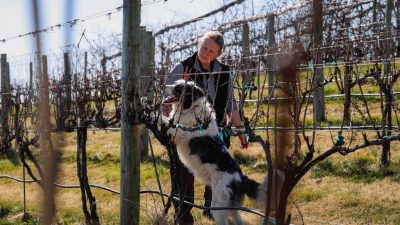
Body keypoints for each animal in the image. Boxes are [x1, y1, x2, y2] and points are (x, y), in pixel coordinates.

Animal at [162, 79, 268, 225]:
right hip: (231, 208)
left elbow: (166, 122)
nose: (163, 86)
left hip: (218, 206)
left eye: (178, 88)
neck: (192, 109)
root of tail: (241, 178)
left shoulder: (179, 132)